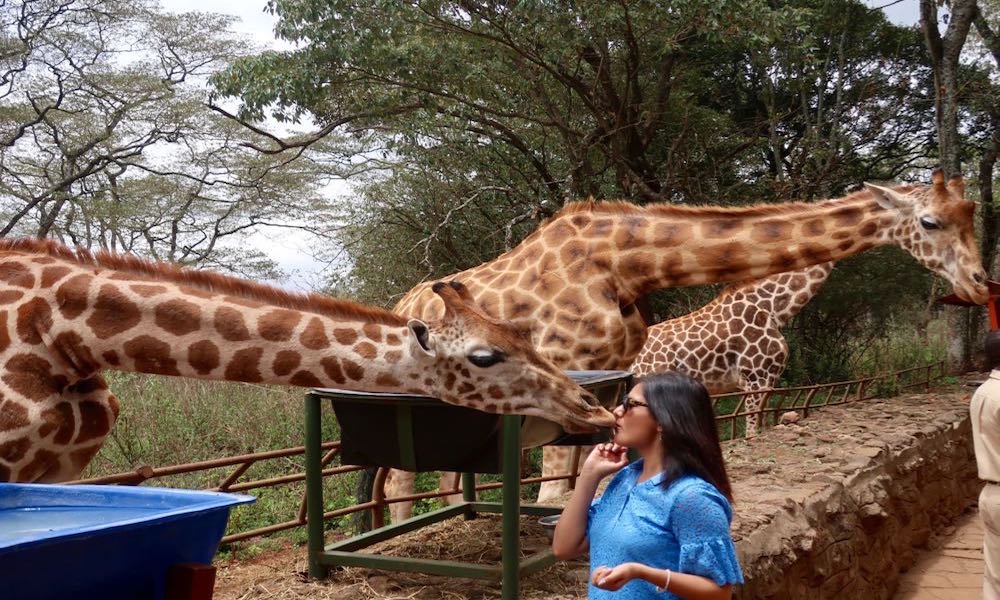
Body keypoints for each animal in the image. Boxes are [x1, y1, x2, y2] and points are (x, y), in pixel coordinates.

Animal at [386, 171, 988, 512]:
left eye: (971, 215)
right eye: (930, 222)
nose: (980, 283)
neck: (626, 266)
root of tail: (401, 303)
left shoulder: (605, 374)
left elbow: (587, 479)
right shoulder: (562, 365)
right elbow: (554, 488)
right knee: (397, 481)